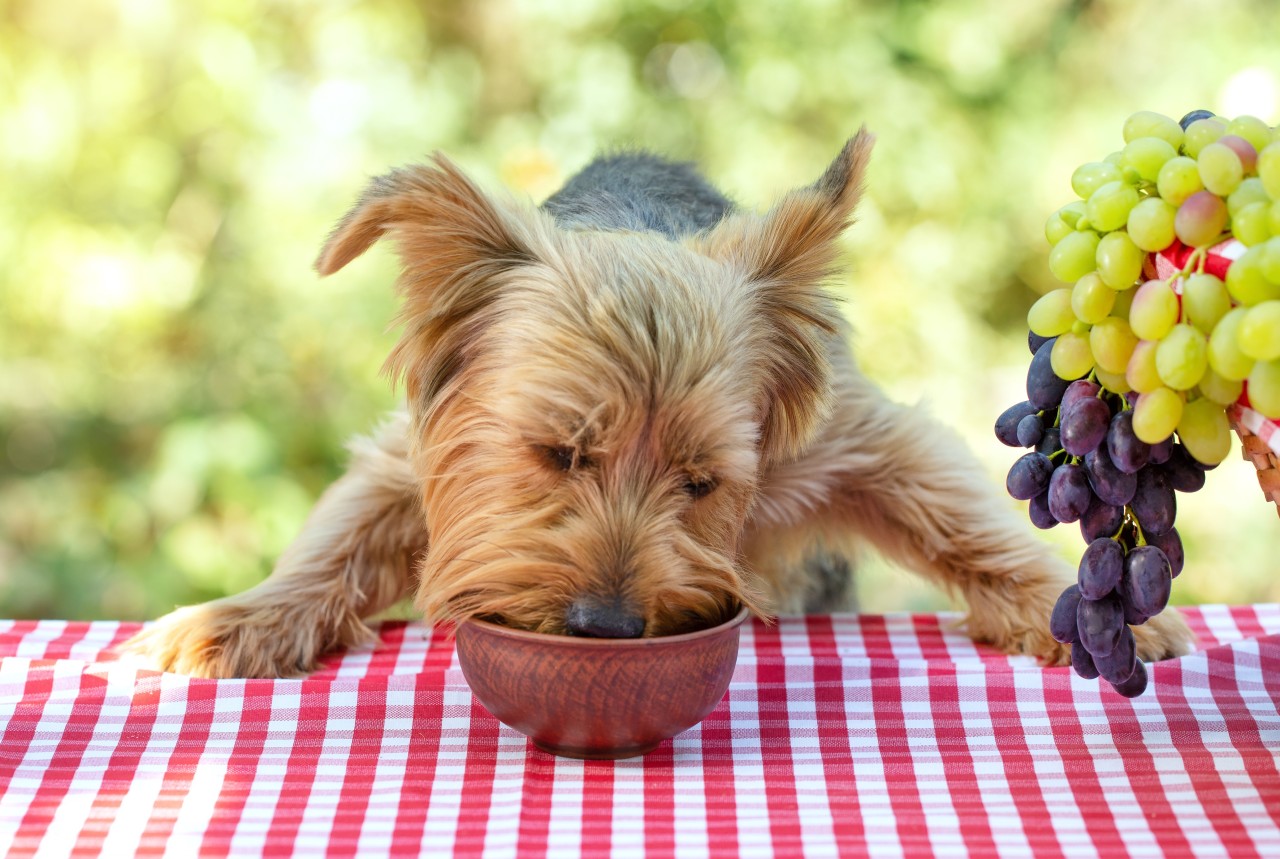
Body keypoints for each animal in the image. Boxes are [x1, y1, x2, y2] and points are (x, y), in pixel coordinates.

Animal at [120, 129, 1187, 681]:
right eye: (555, 453)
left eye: (702, 482)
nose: (605, 625)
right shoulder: (410, 453)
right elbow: (341, 536)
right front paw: (235, 620)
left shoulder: (848, 436)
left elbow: (960, 516)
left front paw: (1088, 617)